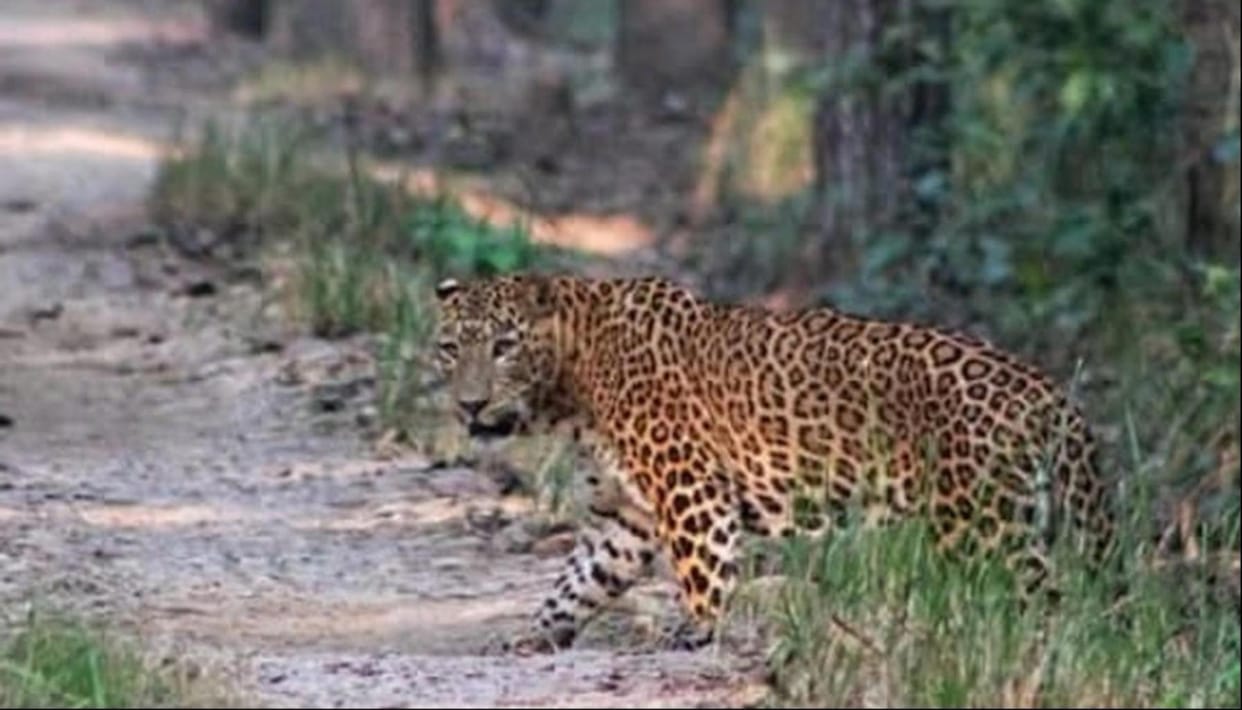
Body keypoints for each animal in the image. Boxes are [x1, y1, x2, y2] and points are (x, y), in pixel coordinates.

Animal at [431, 272, 1118, 653]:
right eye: (448, 349)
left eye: (504, 347)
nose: (470, 405)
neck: (569, 387)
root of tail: (1048, 391)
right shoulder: (623, 515)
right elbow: (579, 580)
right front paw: (538, 632)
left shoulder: (690, 485)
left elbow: (701, 566)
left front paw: (697, 632)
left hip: (982, 526)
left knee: (1048, 597)